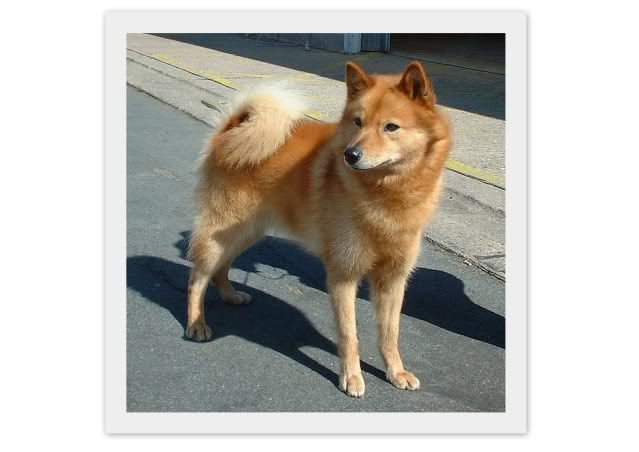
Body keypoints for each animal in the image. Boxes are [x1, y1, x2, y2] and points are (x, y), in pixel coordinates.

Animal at [188, 61, 452, 400]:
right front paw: (351, 377)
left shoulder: (393, 279)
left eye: (391, 127)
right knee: (198, 277)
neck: (387, 195)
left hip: (246, 233)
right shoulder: (343, 275)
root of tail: (230, 130)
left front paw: (395, 372)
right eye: (357, 121)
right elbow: (349, 336)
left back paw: (231, 295)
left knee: (221, 268)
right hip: (221, 232)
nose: (350, 155)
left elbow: (389, 335)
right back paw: (196, 323)